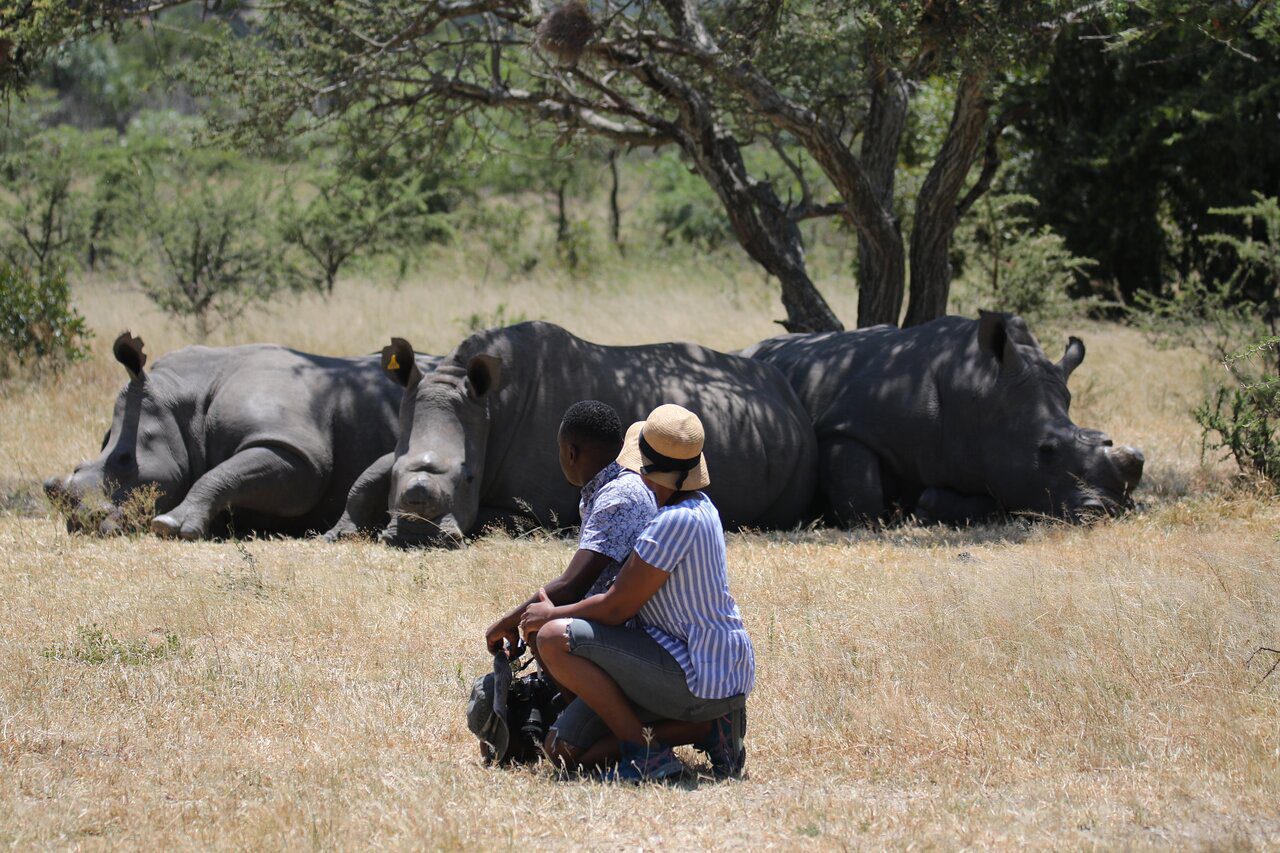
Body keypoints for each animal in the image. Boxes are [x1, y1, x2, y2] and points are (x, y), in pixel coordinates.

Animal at [45, 327, 440, 535]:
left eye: (126, 460)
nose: (81, 522)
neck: (181, 400)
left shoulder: (296, 452)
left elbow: (223, 474)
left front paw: (173, 526)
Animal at [325, 318, 814, 545]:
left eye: (468, 478)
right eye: (399, 475)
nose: (415, 534)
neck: (489, 405)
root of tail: (785, 387)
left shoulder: (538, 507)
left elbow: (500, 520)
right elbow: (368, 474)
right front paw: (338, 535)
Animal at [742, 311, 1152, 522]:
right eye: (1047, 450)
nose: (1107, 509)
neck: (978, 392)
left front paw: (926, 504)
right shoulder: (847, 428)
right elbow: (864, 498)